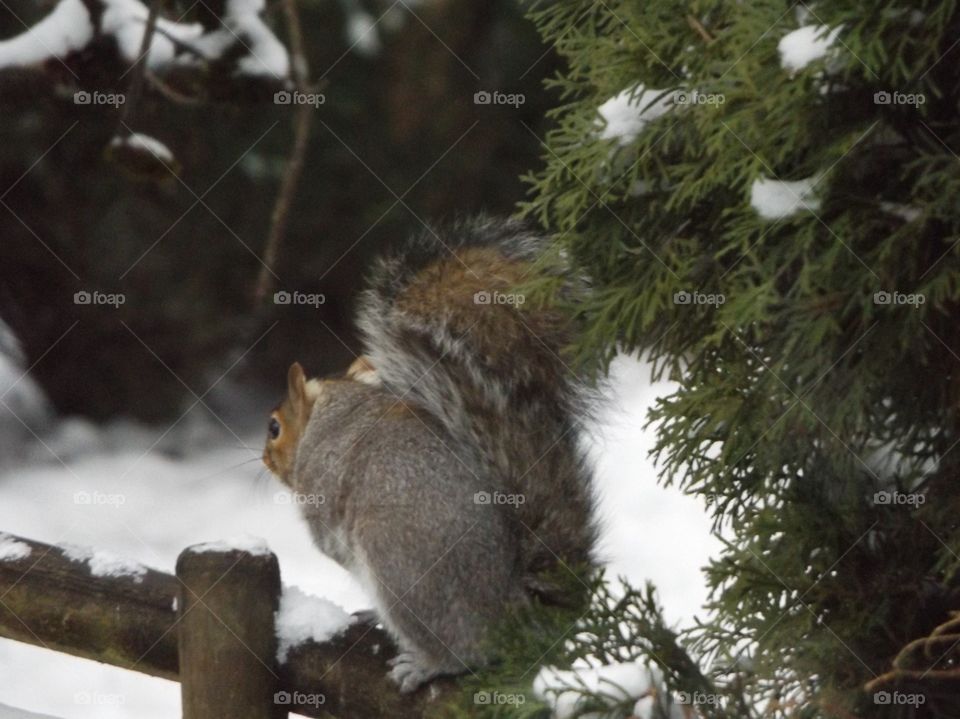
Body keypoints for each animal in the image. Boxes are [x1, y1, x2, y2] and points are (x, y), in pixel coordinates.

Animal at [262, 217, 598, 693]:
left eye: (274, 427)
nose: (263, 458)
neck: (332, 409)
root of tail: (511, 608)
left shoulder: (322, 481)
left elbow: (327, 536)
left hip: (399, 567)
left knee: (463, 651)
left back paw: (427, 664)